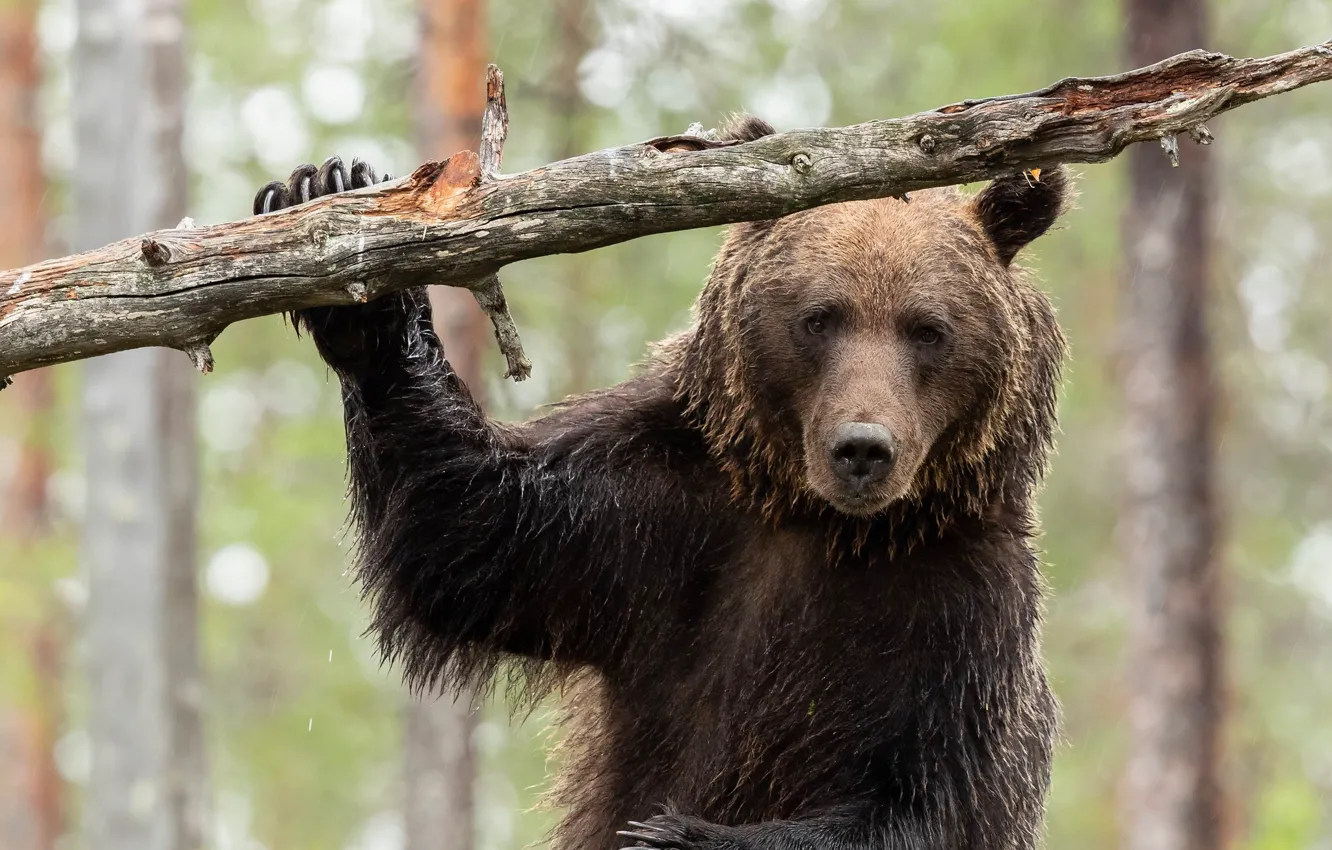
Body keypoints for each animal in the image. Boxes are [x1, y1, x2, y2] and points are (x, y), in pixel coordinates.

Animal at [252, 116, 1071, 850]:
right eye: (820, 318)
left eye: (928, 328)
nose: (863, 449)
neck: (817, 518)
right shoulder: (652, 517)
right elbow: (465, 533)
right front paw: (334, 213)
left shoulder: (959, 612)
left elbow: (925, 803)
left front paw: (680, 834)